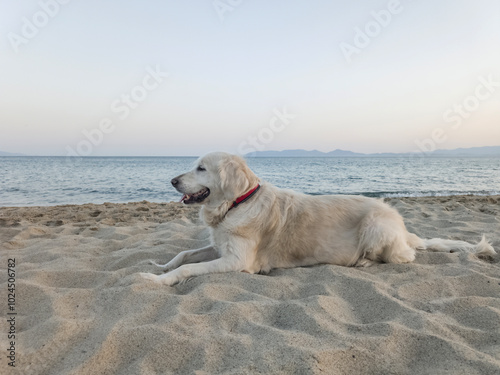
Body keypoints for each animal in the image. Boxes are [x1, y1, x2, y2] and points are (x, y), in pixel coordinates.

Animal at [138, 151, 496, 286]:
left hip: (376, 227)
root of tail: (402, 225)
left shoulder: (238, 260)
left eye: (201, 168)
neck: (237, 203)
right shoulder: (220, 246)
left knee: (405, 257)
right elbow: (184, 254)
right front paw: (159, 266)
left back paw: (365, 261)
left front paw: (157, 280)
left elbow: (188, 268)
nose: (172, 181)